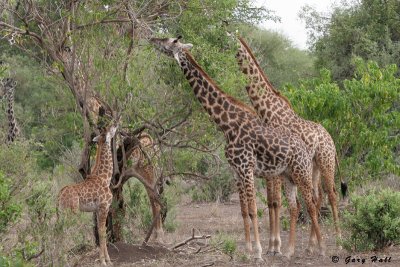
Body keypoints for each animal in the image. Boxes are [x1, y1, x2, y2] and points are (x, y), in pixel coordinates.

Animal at [57, 124, 118, 266]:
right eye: (110, 129)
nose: (116, 124)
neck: (105, 177)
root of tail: (60, 195)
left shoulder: (97, 209)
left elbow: (102, 231)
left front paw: (106, 259)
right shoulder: (104, 207)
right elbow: (102, 232)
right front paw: (104, 261)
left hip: (60, 212)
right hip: (71, 211)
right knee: (66, 230)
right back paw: (65, 260)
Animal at [150, 36, 324, 260]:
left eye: (169, 41)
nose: (152, 39)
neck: (226, 124)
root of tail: (306, 149)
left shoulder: (246, 167)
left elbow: (254, 210)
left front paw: (258, 252)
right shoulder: (236, 170)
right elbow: (244, 210)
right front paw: (250, 250)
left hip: (302, 173)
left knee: (312, 205)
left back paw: (320, 249)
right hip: (288, 176)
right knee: (296, 207)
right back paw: (289, 251)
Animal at [236, 36, 346, 254]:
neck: (267, 111)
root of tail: (331, 140)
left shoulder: (275, 165)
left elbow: (276, 202)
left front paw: (275, 247)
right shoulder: (270, 166)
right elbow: (272, 202)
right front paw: (273, 246)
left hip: (326, 163)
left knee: (332, 194)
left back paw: (337, 241)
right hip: (313, 167)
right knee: (317, 197)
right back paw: (311, 245)